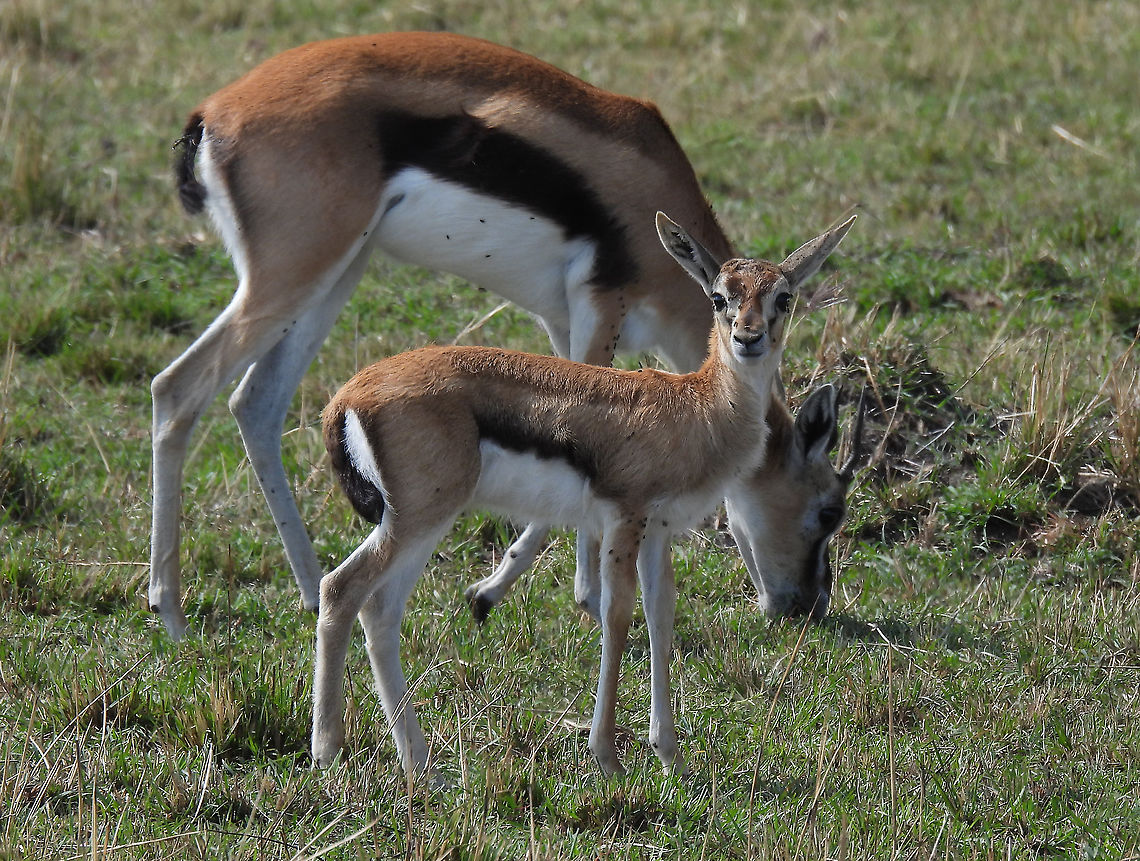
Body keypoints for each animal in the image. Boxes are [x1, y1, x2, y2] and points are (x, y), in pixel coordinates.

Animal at [152, 31, 850, 639]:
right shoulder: (600, 307)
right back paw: (172, 614)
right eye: (828, 509)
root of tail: (213, 114)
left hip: (335, 275)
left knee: (256, 403)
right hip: (291, 277)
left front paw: (509, 591)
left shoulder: (561, 322)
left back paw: (304, 588)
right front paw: (553, 597)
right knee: (177, 389)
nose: (804, 606)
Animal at [312, 212, 855, 778]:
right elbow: (615, 616)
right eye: (719, 296)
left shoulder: (658, 533)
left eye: (783, 297)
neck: (696, 409)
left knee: (380, 610)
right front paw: (607, 757)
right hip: (419, 519)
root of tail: (349, 394)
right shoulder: (624, 521)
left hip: (418, 523)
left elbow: (660, 618)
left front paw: (669, 754)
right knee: (341, 589)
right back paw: (329, 750)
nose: (748, 338)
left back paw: (419, 765)